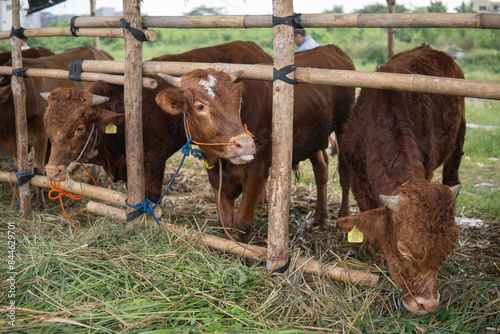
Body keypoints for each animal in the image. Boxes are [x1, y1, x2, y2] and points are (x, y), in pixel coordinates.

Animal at [156, 43, 356, 243]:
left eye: (238, 102)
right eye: (200, 106)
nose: (245, 143)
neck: (222, 162)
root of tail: (331, 48)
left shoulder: (256, 168)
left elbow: (242, 223)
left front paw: (244, 251)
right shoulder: (215, 174)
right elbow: (225, 222)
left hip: (344, 124)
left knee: (344, 172)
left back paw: (343, 216)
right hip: (314, 138)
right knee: (321, 170)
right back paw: (320, 218)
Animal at [336, 45, 464, 316]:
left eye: (448, 249)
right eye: (404, 248)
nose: (427, 305)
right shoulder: (357, 180)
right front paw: (371, 250)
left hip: (458, 138)